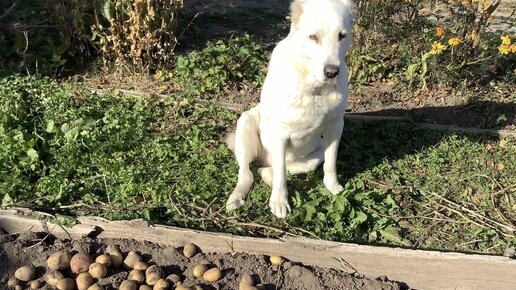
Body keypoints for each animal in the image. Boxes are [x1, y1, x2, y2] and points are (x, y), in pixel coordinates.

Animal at [227, 0, 354, 218]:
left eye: (342, 36)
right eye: (313, 37)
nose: (331, 72)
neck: (315, 87)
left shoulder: (335, 126)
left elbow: (330, 162)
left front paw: (334, 187)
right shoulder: (280, 134)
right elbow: (280, 175)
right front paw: (279, 201)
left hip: (316, 150)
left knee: (273, 169)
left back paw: (265, 173)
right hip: (246, 122)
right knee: (247, 174)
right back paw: (236, 197)